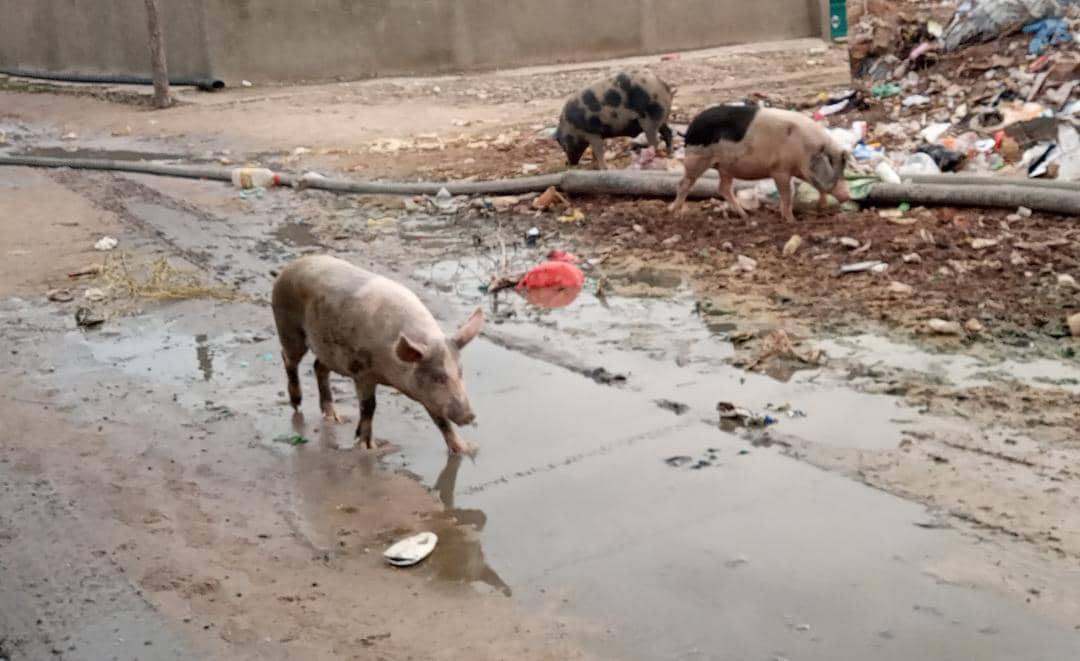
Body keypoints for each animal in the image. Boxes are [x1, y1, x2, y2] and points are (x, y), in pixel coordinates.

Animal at [272, 253, 483, 453]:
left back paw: (335, 418)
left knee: (318, 367)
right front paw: (367, 447)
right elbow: (369, 406)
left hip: (328, 349)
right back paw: (297, 404)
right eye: (438, 377)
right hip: (288, 328)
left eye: (461, 373)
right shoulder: (362, 371)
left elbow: (441, 420)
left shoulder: (427, 393)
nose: (469, 416)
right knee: (289, 359)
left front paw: (468, 449)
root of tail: (291, 266)